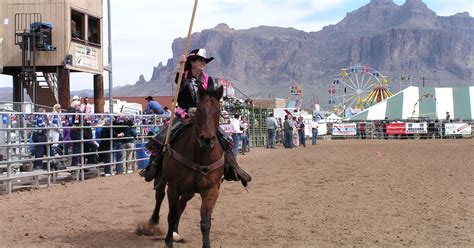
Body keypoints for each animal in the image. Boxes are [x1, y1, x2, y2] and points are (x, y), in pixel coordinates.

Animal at [148, 84, 226, 247]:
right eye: (199, 110)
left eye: (218, 111)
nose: (207, 139)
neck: (200, 156)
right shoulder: (174, 186)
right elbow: (171, 215)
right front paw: (168, 242)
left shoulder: (211, 189)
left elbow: (205, 222)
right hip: (162, 179)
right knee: (159, 197)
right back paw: (153, 222)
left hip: (189, 191)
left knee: (181, 205)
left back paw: (175, 232)